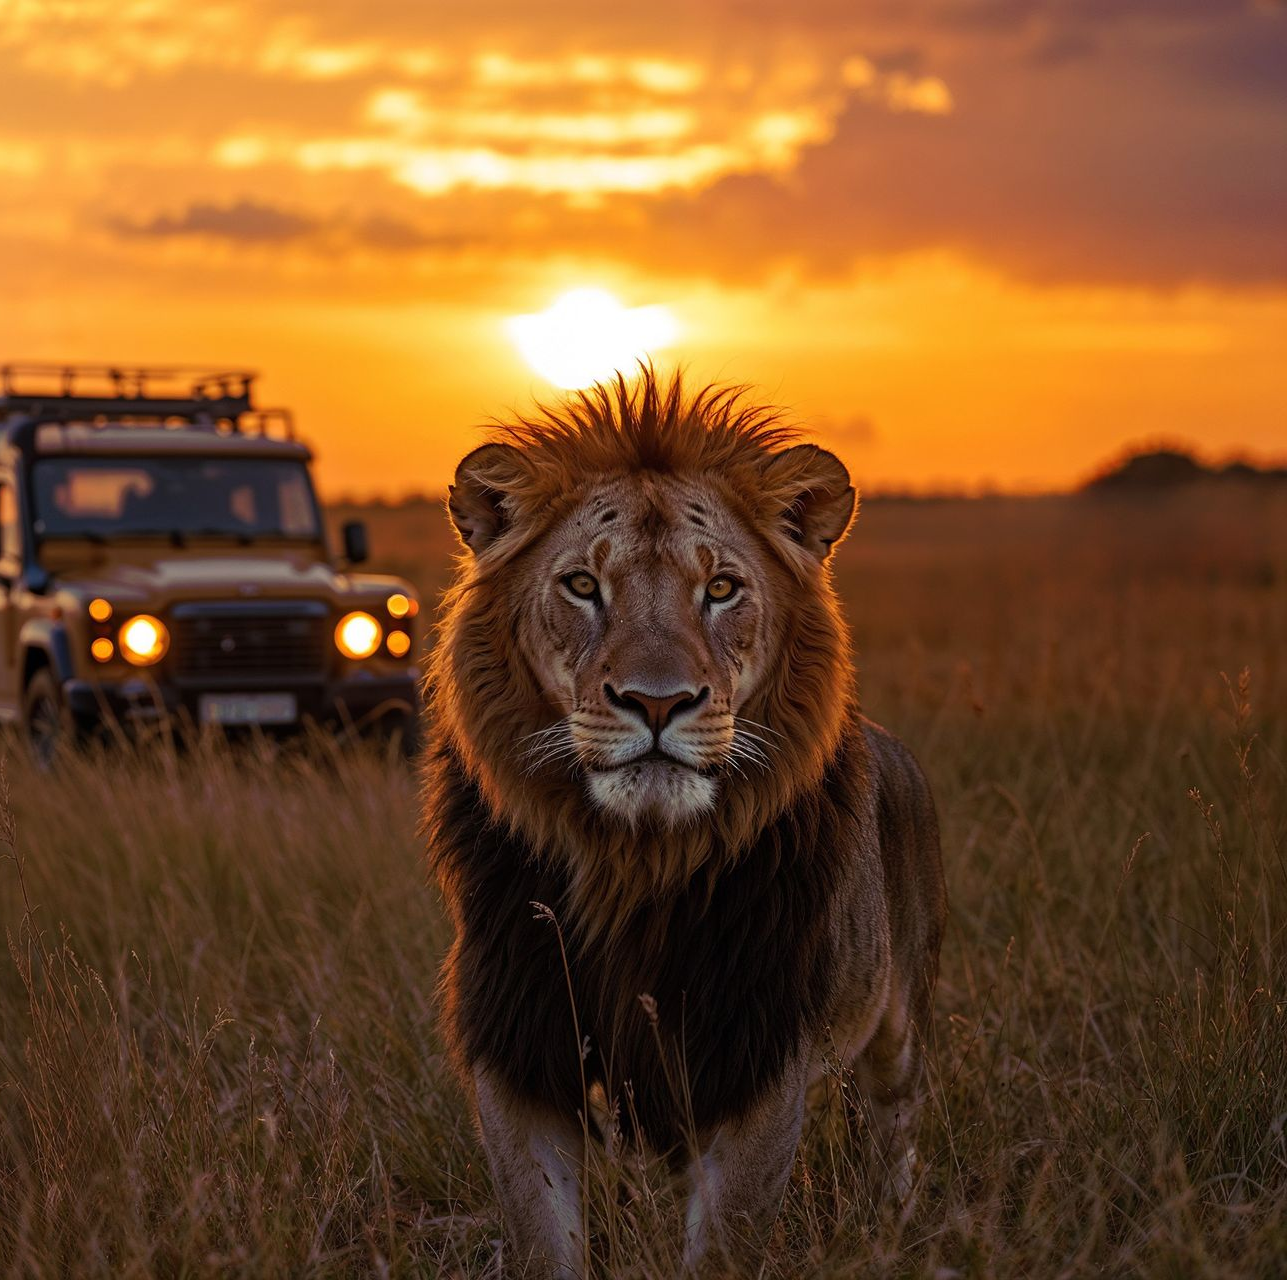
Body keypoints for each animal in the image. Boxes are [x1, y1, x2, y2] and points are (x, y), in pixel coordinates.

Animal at [423, 370, 946, 1276]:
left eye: (722, 589)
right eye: (582, 586)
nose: (658, 702)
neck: (634, 864)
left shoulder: (756, 1056)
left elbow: (721, 1249)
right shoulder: (521, 1052)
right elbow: (545, 1239)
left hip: (899, 1025)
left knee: (896, 1137)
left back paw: (894, 1233)